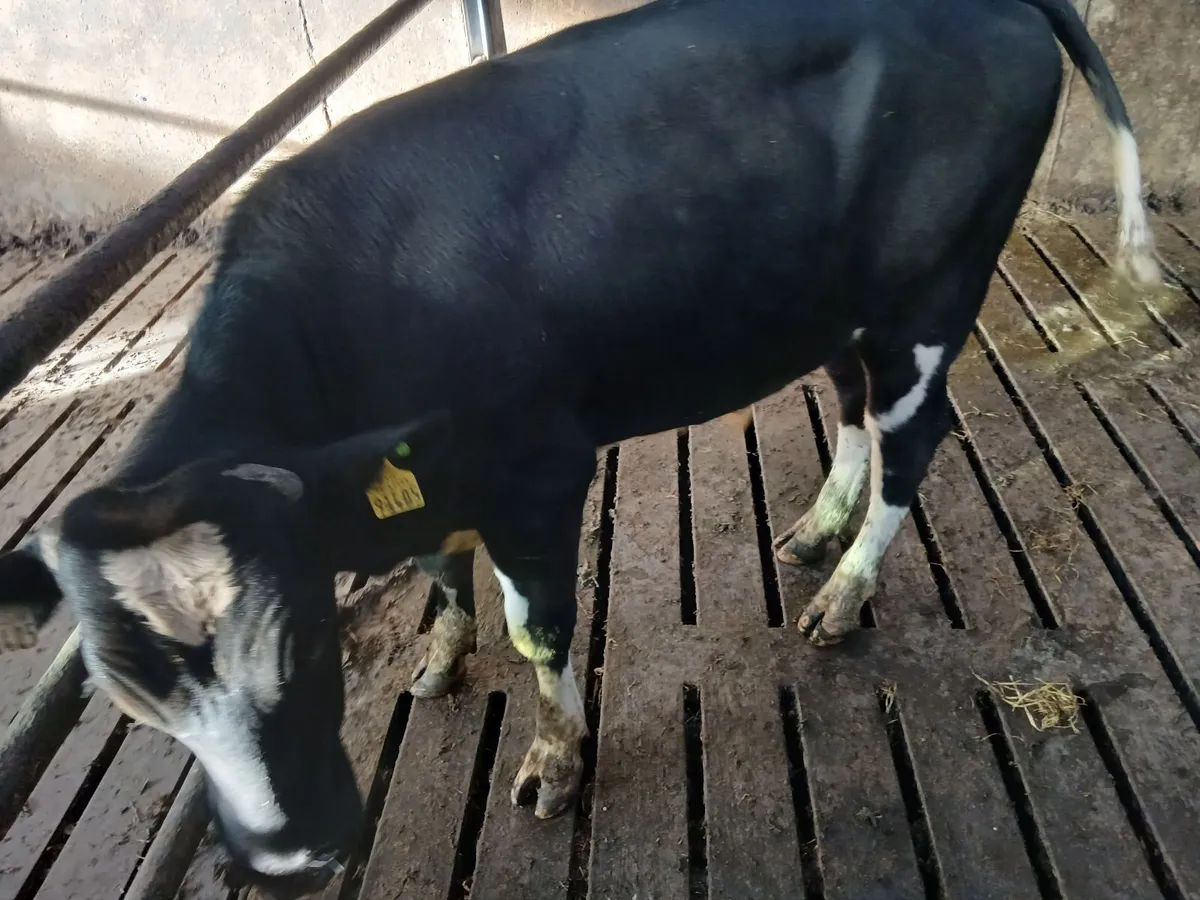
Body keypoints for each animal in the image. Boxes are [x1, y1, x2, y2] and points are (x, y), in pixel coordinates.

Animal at [0, 0, 1159, 895]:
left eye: (312, 644)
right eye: (130, 704)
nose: (291, 864)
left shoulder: (537, 470)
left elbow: (540, 628)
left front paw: (556, 760)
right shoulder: (422, 464)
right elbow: (441, 570)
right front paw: (440, 657)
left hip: (931, 294)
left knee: (911, 439)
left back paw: (844, 593)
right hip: (824, 301)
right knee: (851, 407)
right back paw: (816, 532)